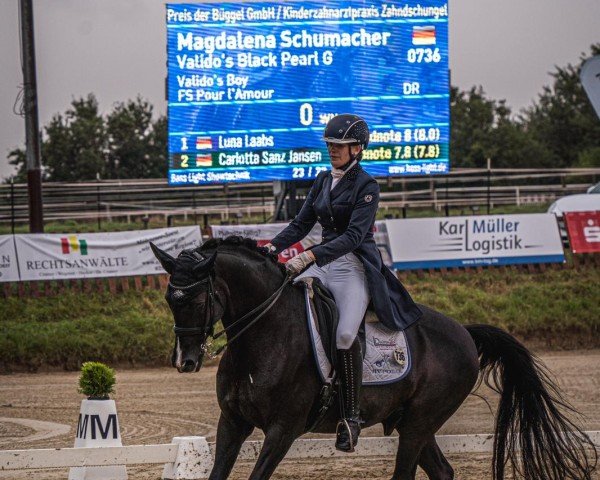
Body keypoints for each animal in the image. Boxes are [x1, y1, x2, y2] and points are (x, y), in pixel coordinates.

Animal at [151, 237, 596, 480]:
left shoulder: (282, 430)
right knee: (442, 471)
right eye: (169, 299)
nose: (185, 360)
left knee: (405, 474)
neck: (264, 336)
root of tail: (463, 333)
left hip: (419, 423)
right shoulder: (233, 422)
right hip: (411, 422)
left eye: (196, 299)